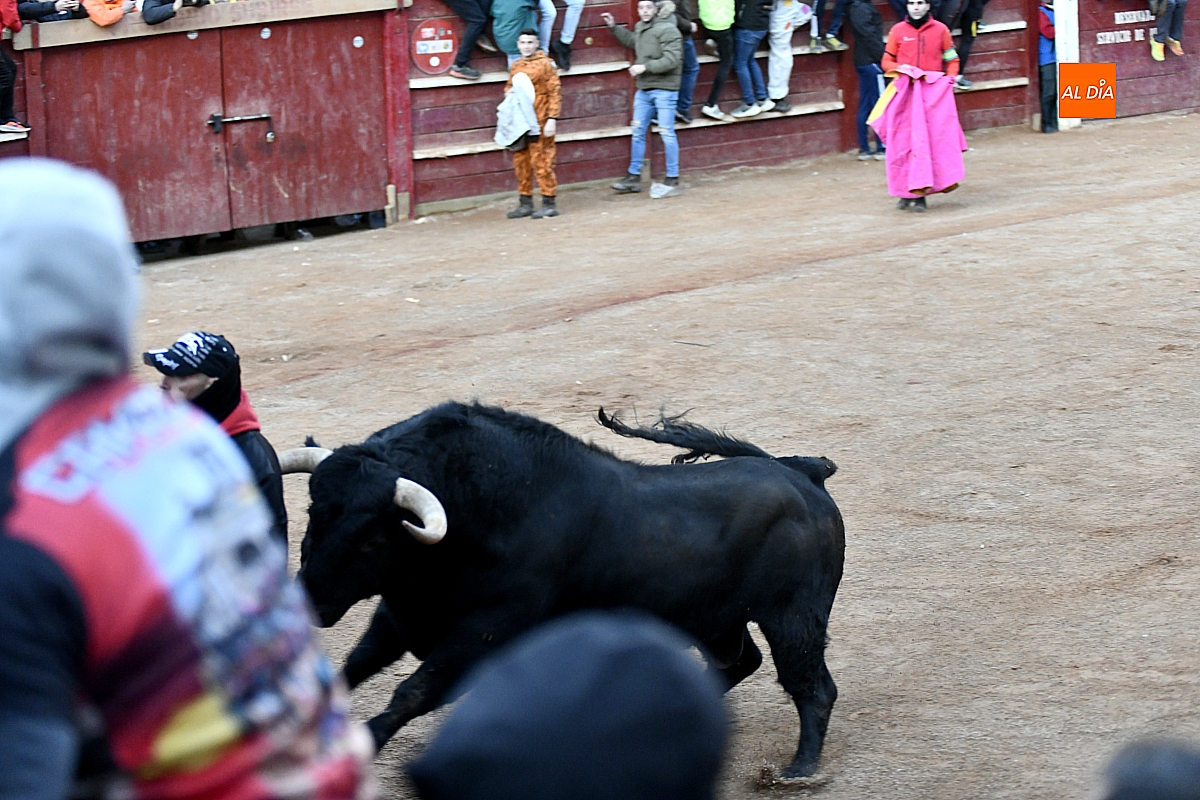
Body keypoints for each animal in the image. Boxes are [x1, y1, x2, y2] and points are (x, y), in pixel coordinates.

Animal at [280, 402, 845, 779]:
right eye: (313, 512)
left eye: (372, 537)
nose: (306, 602)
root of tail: (801, 471)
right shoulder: (398, 618)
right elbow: (352, 668)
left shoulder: (481, 634)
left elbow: (411, 692)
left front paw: (362, 743)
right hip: (718, 622)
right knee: (739, 663)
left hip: (793, 618)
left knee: (812, 686)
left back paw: (800, 769)